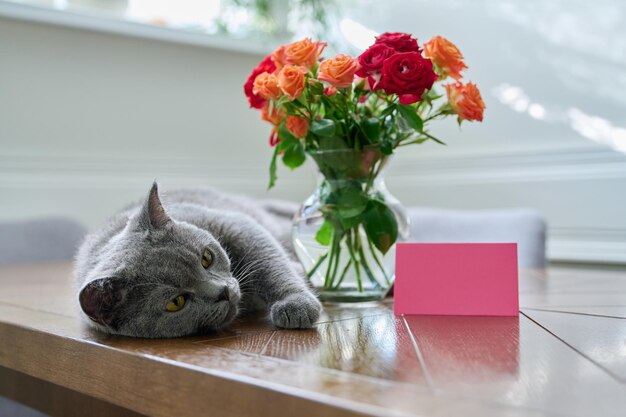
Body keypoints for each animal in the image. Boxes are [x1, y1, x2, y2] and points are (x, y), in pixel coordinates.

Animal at [73, 183, 322, 338]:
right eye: (176, 302)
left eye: (206, 258)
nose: (224, 292)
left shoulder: (236, 223)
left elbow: (270, 264)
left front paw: (297, 303)